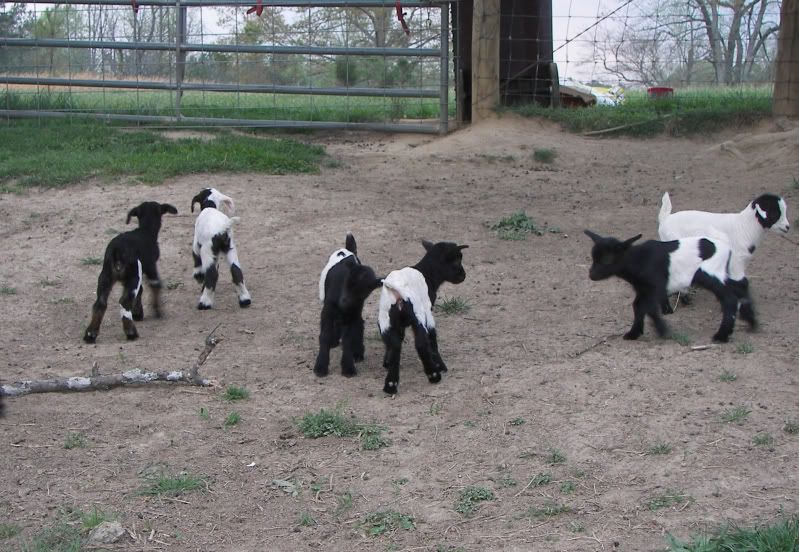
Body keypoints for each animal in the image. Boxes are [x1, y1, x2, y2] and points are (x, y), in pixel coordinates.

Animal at [83, 201, 178, 343]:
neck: (145, 230)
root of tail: (117, 250)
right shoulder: (151, 267)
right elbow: (155, 285)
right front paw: (157, 312)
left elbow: (141, 291)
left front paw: (138, 313)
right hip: (133, 275)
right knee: (124, 301)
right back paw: (131, 333)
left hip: (105, 276)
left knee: (100, 303)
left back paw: (90, 335)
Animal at [314, 233, 383, 378]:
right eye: (348, 282)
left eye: (365, 291)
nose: (344, 302)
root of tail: (348, 250)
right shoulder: (327, 312)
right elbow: (324, 335)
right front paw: (320, 367)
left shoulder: (352, 312)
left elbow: (348, 339)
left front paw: (348, 368)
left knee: (359, 323)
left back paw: (358, 352)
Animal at [378, 240, 468, 394]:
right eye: (457, 261)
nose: (463, 276)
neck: (427, 273)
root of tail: (397, 292)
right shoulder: (428, 310)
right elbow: (432, 338)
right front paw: (440, 366)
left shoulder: (398, 324)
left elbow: (397, 340)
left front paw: (386, 362)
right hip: (418, 314)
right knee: (420, 342)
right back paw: (434, 375)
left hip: (385, 320)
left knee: (394, 344)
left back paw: (390, 384)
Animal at [584, 229, 746, 343]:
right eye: (593, 257)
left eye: (606, 260)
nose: (591, 275)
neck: (639, 260)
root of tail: (727, 249)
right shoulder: (642, 288)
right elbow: (637, 305)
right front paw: (633, 333)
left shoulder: (655, 287)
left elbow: (649, 308)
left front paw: (663, 331)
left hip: (711, 273)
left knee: (730, 300)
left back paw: (721, 335)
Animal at [658, 192, 790, 325]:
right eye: (775, 212)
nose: (787, 227)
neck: (744, 227)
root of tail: (665, 218)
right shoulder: (736, 262)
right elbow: (742, 283)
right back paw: (668, 309)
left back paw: (685, 300)